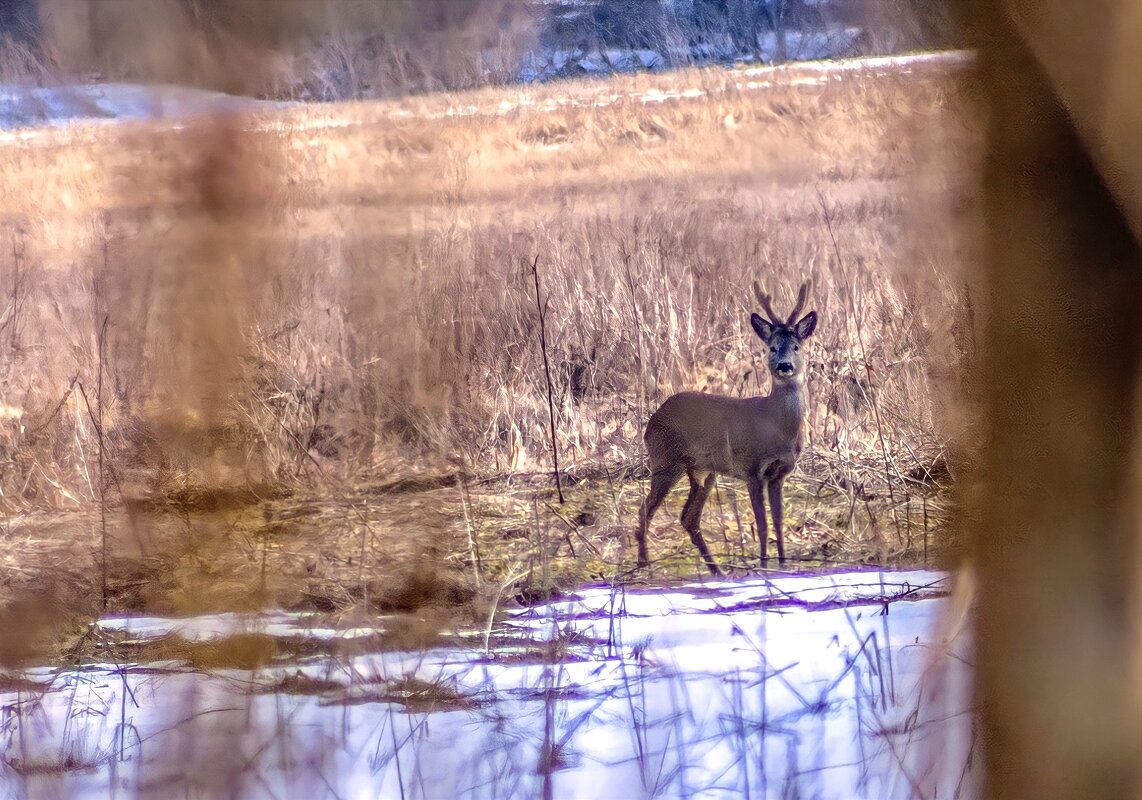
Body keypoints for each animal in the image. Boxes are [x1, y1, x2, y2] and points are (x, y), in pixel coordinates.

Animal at [639, 280, 817, 575]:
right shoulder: (752, 469)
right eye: (771, 347)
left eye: (796, 346)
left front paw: (783, 566)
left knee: (688, 517)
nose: (784, 366)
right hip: (665, 461)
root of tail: (651, 421)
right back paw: (645, 569)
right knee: (645, 510)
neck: (777, 426)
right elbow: (763, 523)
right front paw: (764, 566)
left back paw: (716, 571)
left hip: (703, 470)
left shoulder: (779, 474)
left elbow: (779, 522)